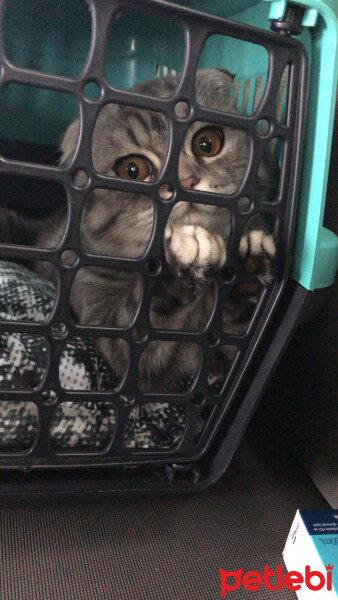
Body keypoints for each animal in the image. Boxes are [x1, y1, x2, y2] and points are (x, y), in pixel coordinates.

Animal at [0, 69, 274, 394]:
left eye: (206, 143)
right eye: (133, 170)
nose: (186, 182)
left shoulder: (221, 348)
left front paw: (250, 254)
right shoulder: (114, 331)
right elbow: (148, 318)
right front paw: (185, 254)